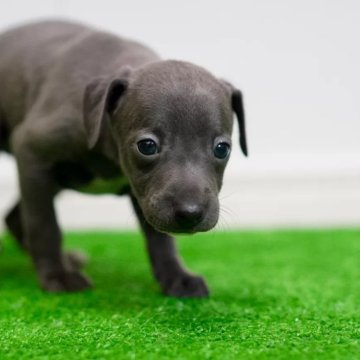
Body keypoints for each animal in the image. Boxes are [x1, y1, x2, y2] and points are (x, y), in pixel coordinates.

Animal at [0, 20, 248, 296]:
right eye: (147, 146)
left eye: (222, 149)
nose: (190, 213)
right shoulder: (32, 153)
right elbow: (44, 224)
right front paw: (58, 276)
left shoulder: (146, 196)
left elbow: (160, 238)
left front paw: (176, 277)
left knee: (13, 217)